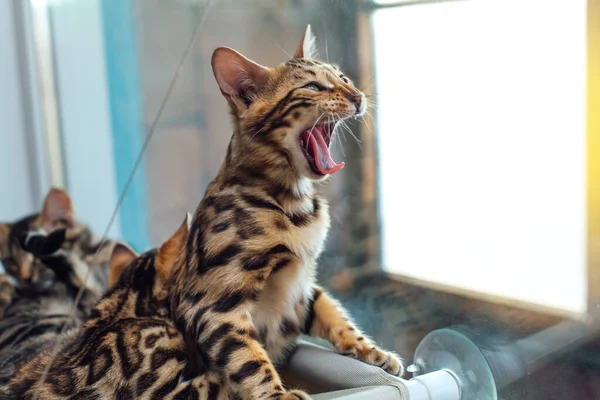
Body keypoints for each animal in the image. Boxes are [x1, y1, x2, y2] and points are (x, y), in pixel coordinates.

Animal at [169, 25, 404, 400]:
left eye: (342, 78)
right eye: (313, 87)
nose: (357, 95)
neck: (294, 204)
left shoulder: (304, 287)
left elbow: (336, 315)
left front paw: (372, 350)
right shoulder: (214, 306)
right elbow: (247, 358)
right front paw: (276, 395)